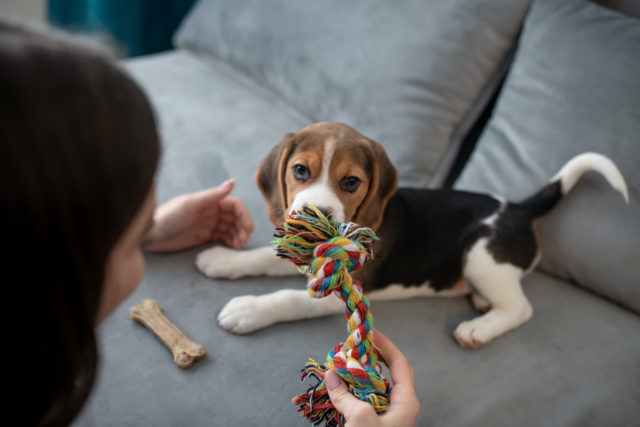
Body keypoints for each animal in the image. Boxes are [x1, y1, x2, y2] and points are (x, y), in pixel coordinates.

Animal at [196, 122, 632, 350]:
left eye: (351, 182)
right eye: (300, 170)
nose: (312, 216)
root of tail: (520, 207)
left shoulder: (348, 289)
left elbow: (288, 298)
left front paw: (249, 310)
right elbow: (261, 258)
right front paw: (222, 258)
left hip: (481, 254)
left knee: (521, 308)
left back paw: (479, 328)